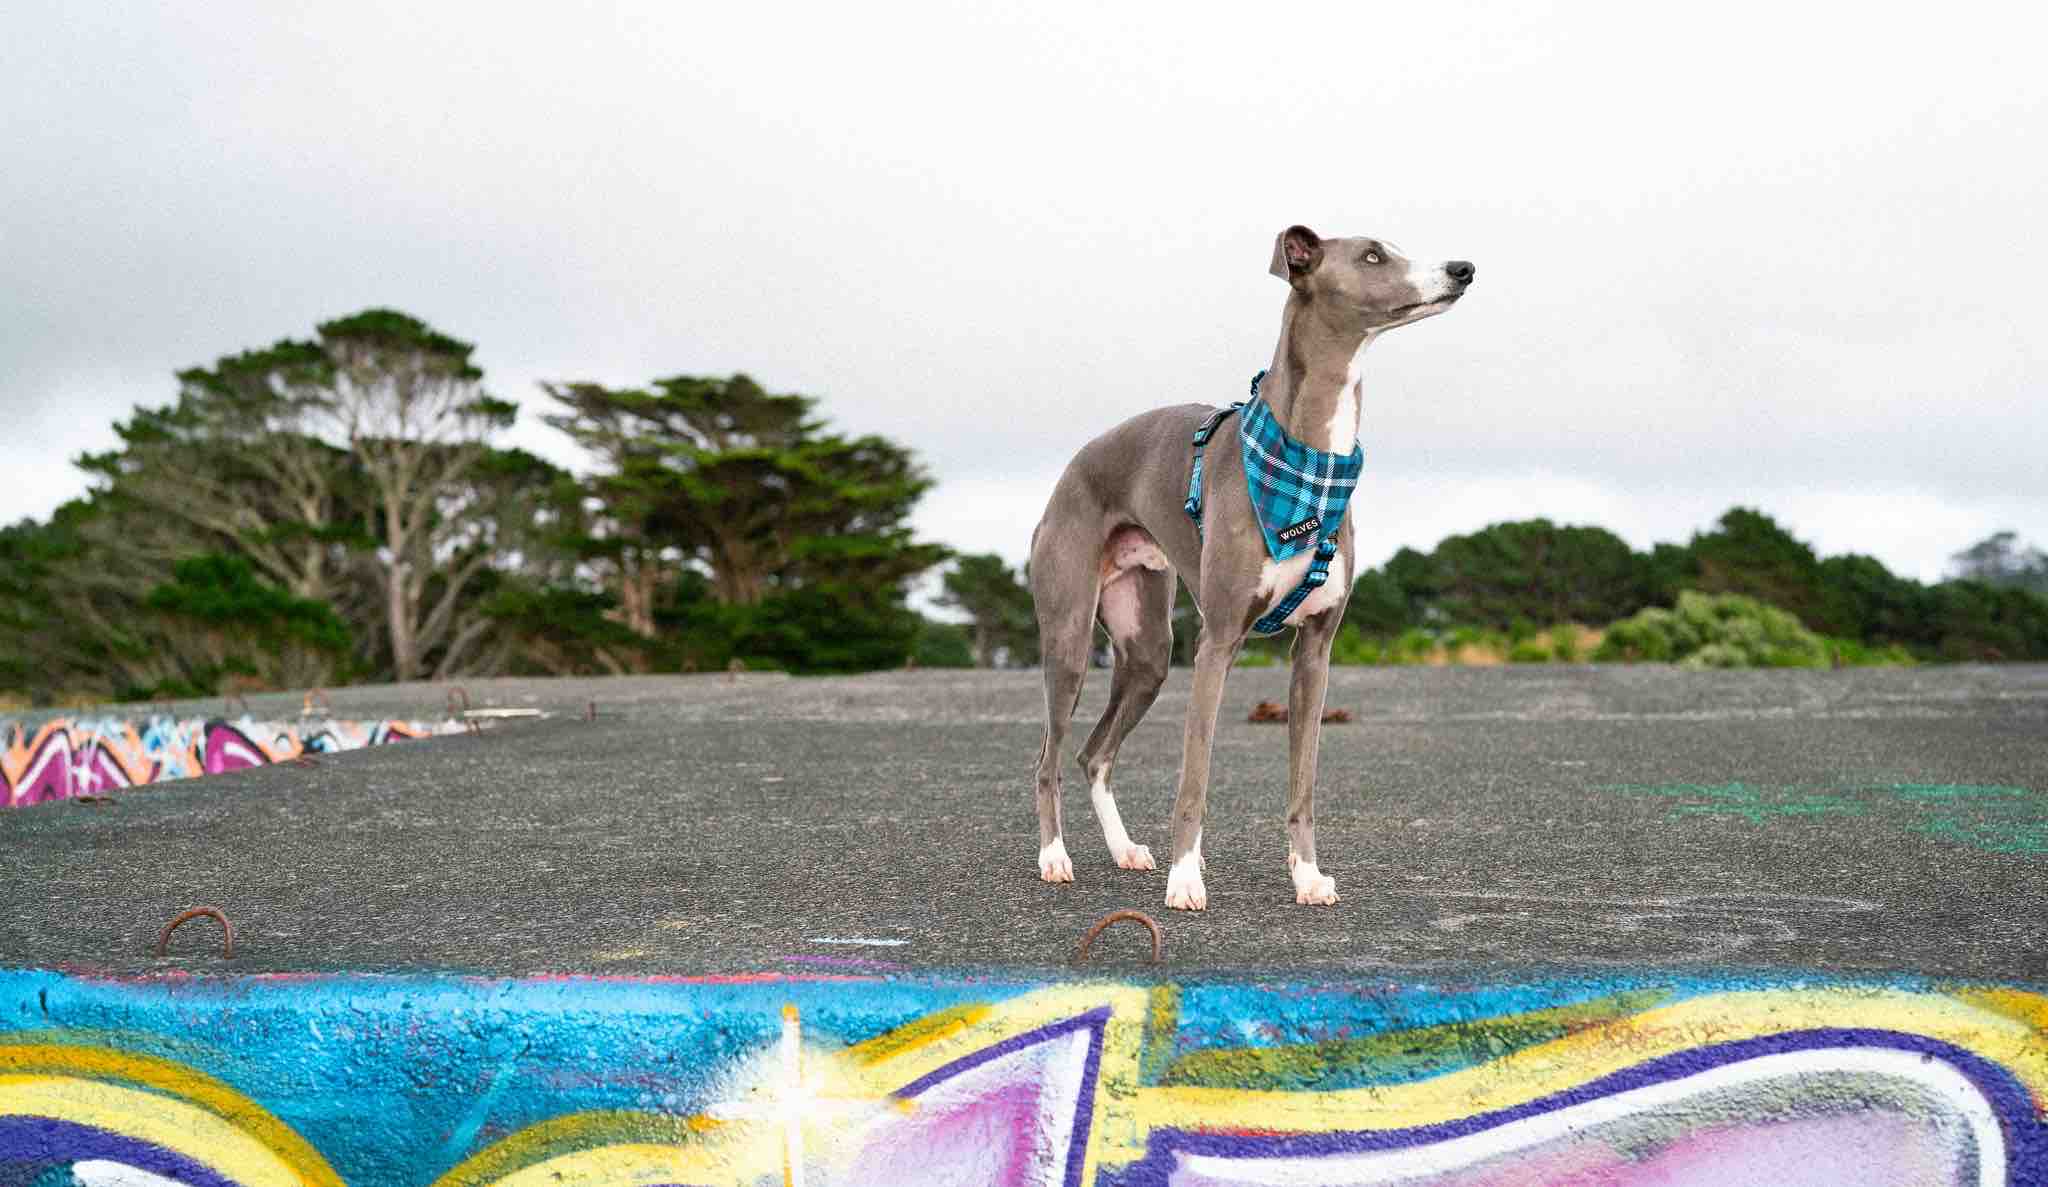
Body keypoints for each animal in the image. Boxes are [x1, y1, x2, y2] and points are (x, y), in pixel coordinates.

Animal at [1040, 225, 1474, 908]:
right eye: (1373, 255)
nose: (1463, 269)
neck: (1310, 466)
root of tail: (1070, 469)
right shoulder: (1218, 641)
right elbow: (1194, 780)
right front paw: (1185, 879)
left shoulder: (1316, 650)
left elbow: (1304, 784)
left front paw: (1307, 875)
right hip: (1070, 639)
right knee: (1049, 757)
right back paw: (1054, 856)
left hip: (1148, 650)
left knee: (1093, 753)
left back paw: (1125, 850)